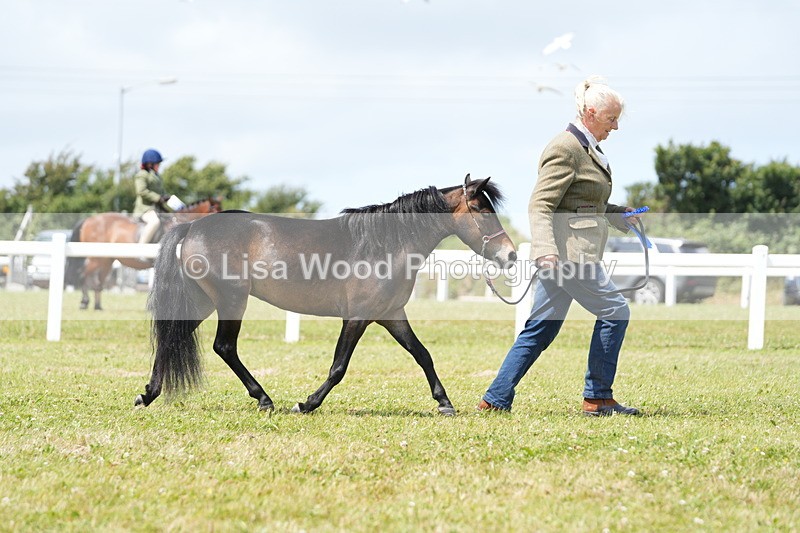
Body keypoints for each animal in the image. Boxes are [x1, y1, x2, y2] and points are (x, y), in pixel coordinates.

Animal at [66, 198, 222, 311]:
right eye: (214, 209)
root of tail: (88, 220)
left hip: (106, 261)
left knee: (98, 282)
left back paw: (97, 306)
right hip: (97, 259)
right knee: (83, 275)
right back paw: (84, 303)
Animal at [135, 175, 517, 416]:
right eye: (482, 210)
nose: (510, 255)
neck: (385, 244)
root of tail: (192, 227)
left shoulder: (391, 315)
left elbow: (423, 356)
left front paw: (444, 403)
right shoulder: (358, 317)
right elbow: (339, 367)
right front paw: (307, 403)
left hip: (205, 301)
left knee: (173, 337)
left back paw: (148, 395)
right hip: (230, 300)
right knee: (223, 346)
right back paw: (264, 399)